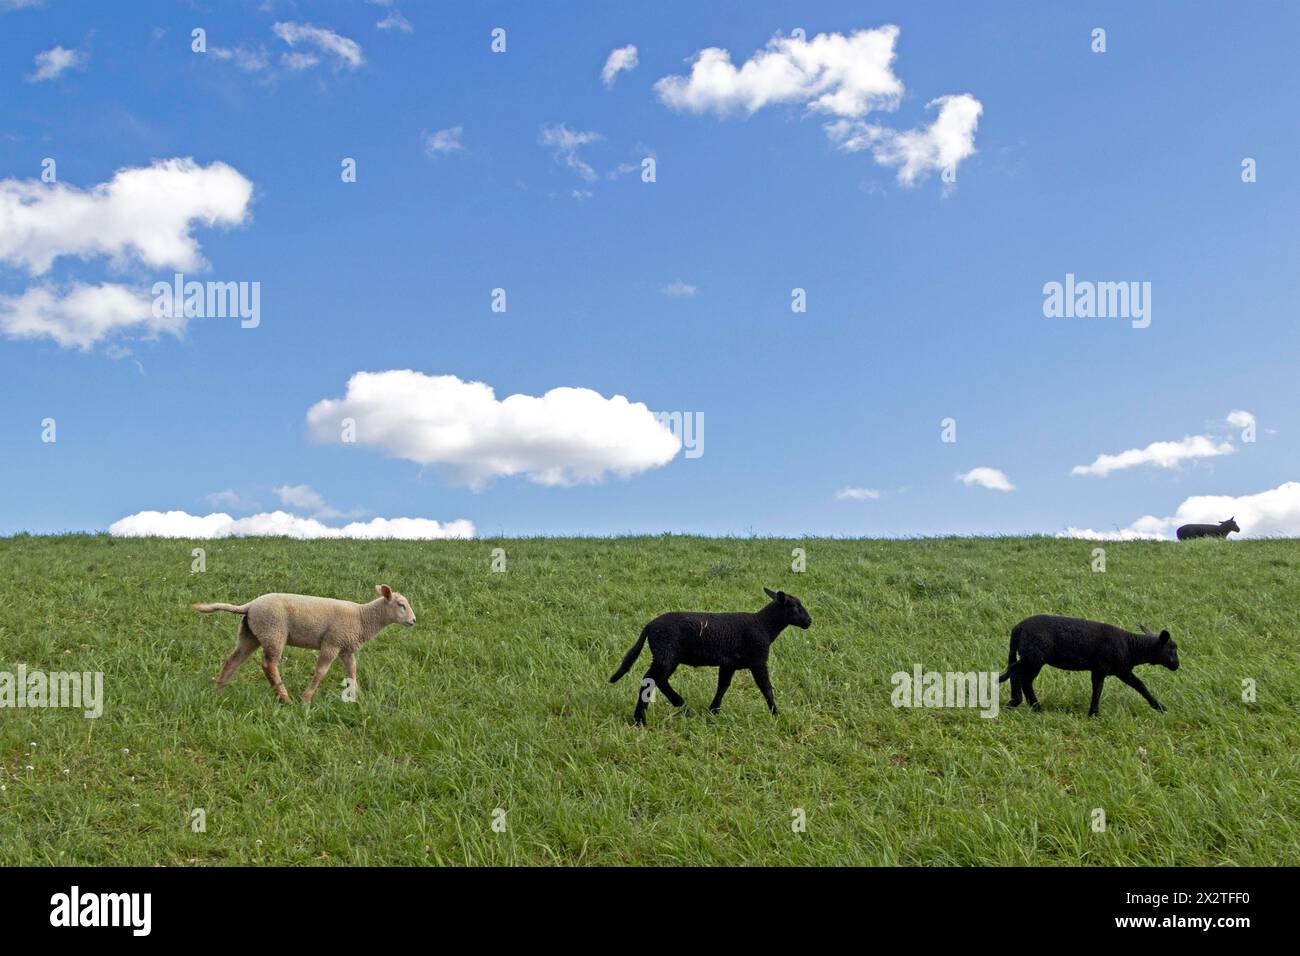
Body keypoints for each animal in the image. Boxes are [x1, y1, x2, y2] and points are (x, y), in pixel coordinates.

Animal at [193, 582, 416, 702]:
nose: (414, 621)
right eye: (401, 604)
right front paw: (306, 699)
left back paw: (218, 691)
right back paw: (285, 699)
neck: (363, 618)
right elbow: (321, 672)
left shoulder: (346, 648)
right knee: (269, 665)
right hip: (274, 632)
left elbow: (352, 672)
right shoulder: (332, 643)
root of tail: (250, 605)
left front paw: (356, 696)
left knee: (233, 660)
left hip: (251, 634)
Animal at [608, 587, 811, 728]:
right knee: (649, 680)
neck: (764, 626)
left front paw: (713, 710)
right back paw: (640, 720)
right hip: (665, 653)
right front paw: (776, 714)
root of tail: (649, 626)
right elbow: (766, 688)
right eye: (796, 607)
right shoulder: (758, 661)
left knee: (661, 681)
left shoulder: (729, 664)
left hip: (668, 656)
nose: (809, 622)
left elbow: (723, 686)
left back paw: (683, 706)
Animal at [993, 616, 1180, 712]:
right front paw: (1093, 713)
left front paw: (1159, 707)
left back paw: (1035, 706)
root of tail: (1018, 628)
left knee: (1024, 678)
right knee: (1015, 671)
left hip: (1033, 658)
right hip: (1034, 656)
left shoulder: (1120, 670)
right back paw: (1015, 701)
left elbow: (1137, 685)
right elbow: (1099, 689)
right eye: (1172, 648)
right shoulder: (1103, 668)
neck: (1131, 647)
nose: (1177, 666)